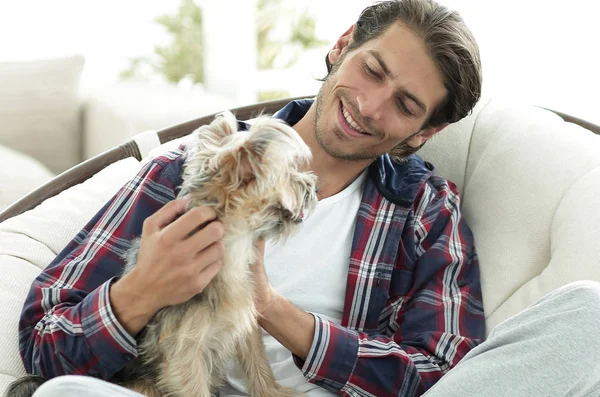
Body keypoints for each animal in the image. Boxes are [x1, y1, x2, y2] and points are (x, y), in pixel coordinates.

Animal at [8, 111, 318, 396]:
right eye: (291, 177)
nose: (313, 184)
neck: (233, 247)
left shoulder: (244, 323)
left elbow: (258, 363)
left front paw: (273, 392)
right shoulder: (185, 356)